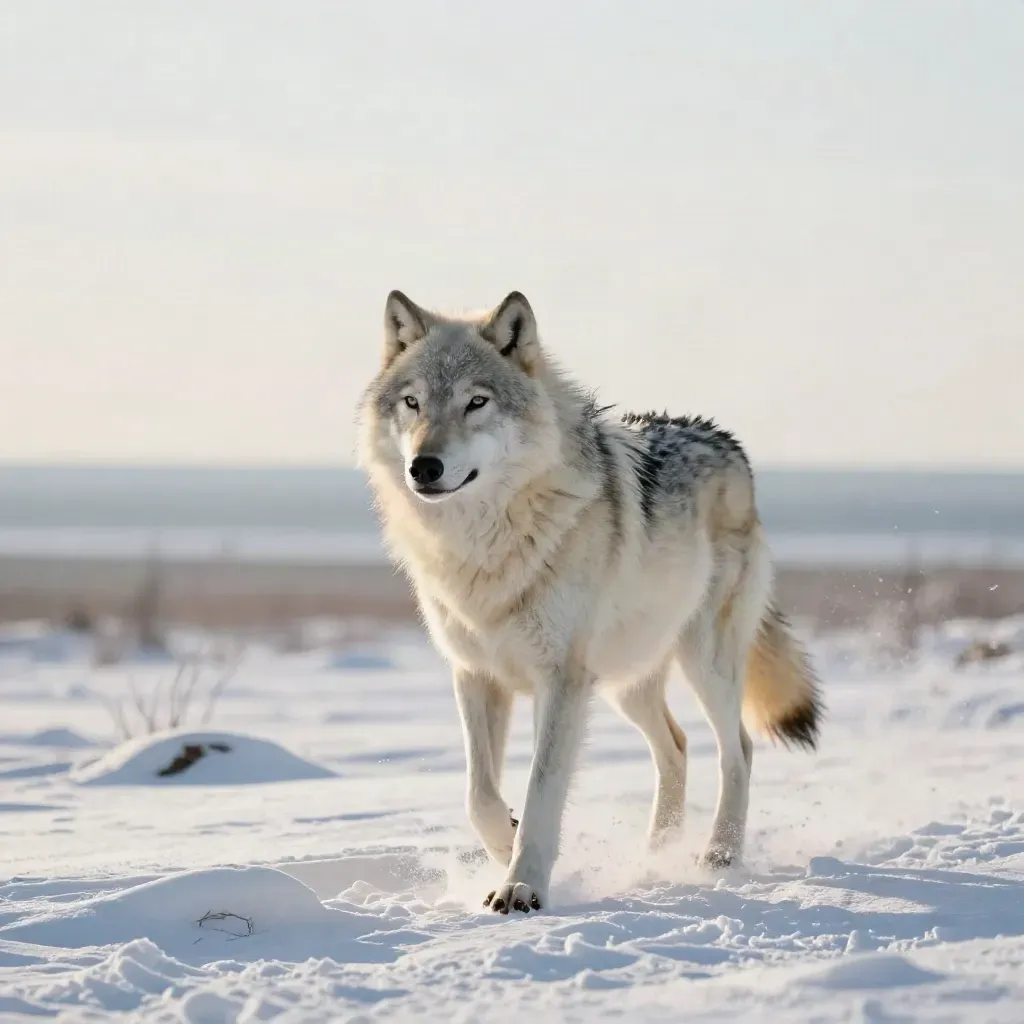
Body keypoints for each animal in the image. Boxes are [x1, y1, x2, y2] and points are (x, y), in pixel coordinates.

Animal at [357, 289, 822, 915]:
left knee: (739, 749)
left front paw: (523, 885)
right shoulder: (476, 674)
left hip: (703, 663)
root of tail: (726, 440)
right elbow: (479, 795)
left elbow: (542, 787)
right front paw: (505, 848)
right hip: (626, 680)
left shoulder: (561, 680)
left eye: (476, 402)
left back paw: (719, 855)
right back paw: (654, 858)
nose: (423, 467)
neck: (485, 546)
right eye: (412, 403)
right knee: (676, 748)